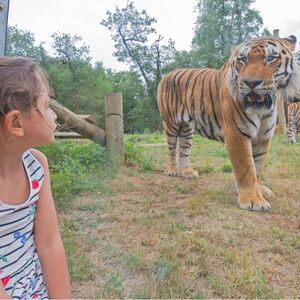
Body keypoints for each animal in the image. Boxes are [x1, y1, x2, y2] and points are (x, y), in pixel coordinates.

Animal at [157, 35, 300, 212]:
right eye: (242, 60)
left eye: (271, 58)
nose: (251, 83)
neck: (263, 109)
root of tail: (167, 74)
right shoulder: (237, 134)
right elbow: (246, 169)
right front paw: (253, 200)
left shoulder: (263, 137)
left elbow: (257, 167)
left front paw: (260, 191)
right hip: (171, 123)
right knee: (171, 148)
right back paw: (172, 170)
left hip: (187, 129)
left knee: (184, 149)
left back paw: (187, 172)